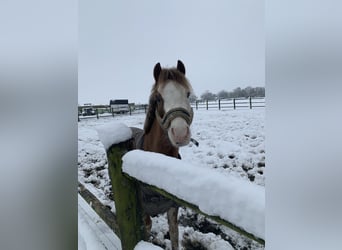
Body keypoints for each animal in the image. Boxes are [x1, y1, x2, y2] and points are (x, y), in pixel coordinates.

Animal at [130, 59, 195, 249]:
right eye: (158, 98)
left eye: (188, 94)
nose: (180, 133)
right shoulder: (144, 213)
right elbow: (146, 232)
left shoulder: (173, 209)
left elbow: (174, 234)